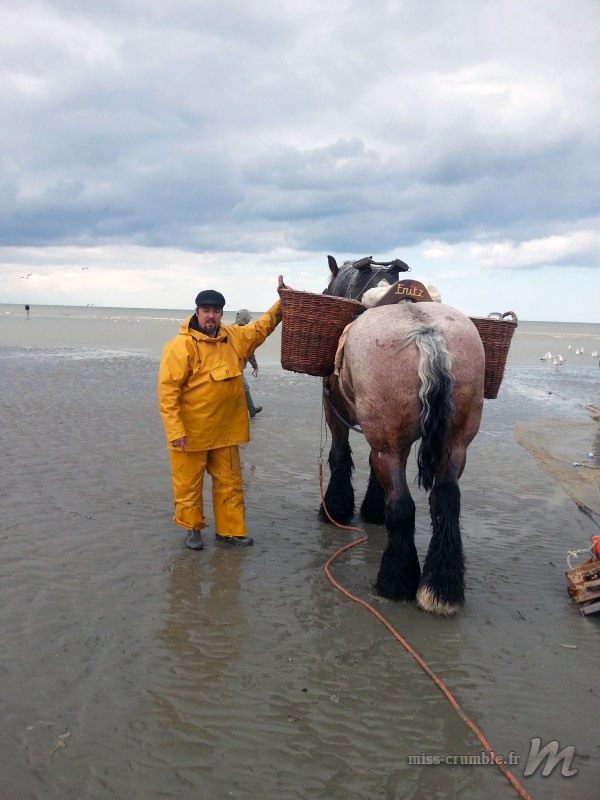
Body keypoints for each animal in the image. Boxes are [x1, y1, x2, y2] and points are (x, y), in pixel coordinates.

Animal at [321, 256, 485, 616]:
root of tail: (427, 333)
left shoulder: (336, 411)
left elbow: (340, 456)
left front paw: (337, 508)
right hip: (456, 445)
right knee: (446, 499)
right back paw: (441, 588)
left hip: (389, 443)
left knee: (402, 506)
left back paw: (394, 581)